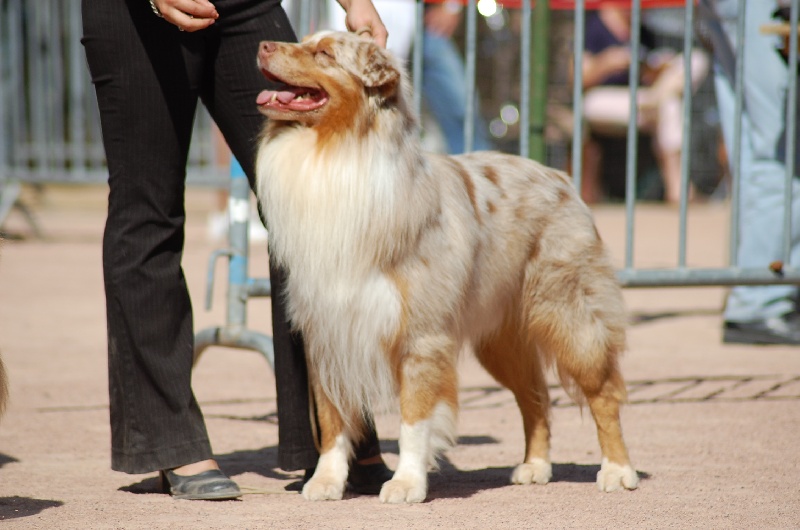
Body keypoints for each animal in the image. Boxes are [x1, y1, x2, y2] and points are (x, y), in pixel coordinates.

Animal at [253, 31, 640, 502]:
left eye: (323, 53)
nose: (263, 45)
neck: (339, 151)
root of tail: (560, 176)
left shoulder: (421, 338)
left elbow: (413, 420)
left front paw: (406, 483)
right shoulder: (327, 332)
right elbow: (331, 419)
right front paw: (326, 481)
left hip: (570, 316)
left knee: (603, 392)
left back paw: (618, 470)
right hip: (500, 339)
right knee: (535, 396)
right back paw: (535, 466)